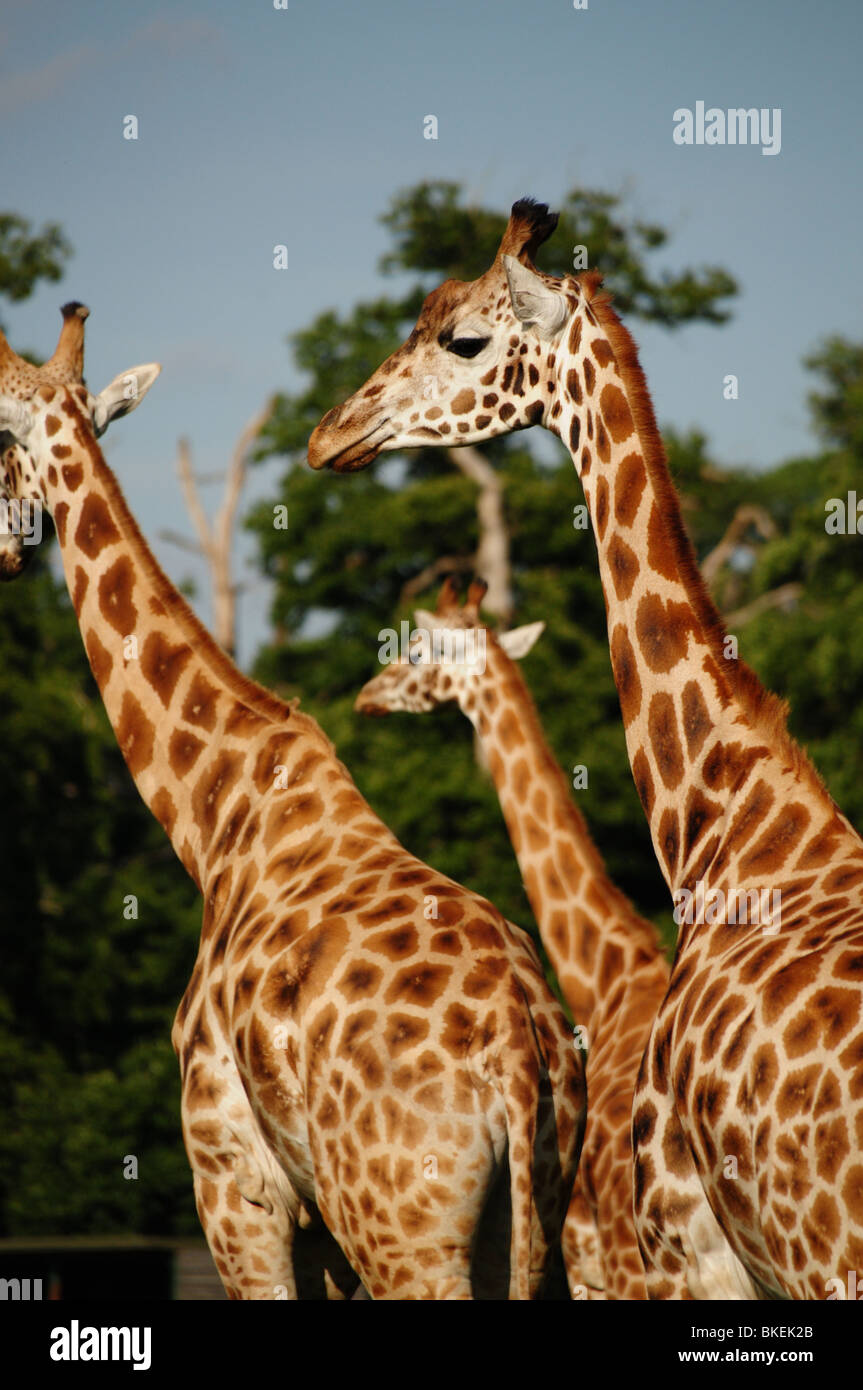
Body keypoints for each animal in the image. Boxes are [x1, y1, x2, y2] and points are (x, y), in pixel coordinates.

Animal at [0, 306, 585, 1300]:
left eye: (0, 441)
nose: (1, 544)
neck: (212, 815)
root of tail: (517, 1053)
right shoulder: (317, 1225)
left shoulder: (234, 1183)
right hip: (535, 1225)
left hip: (404, 1231)